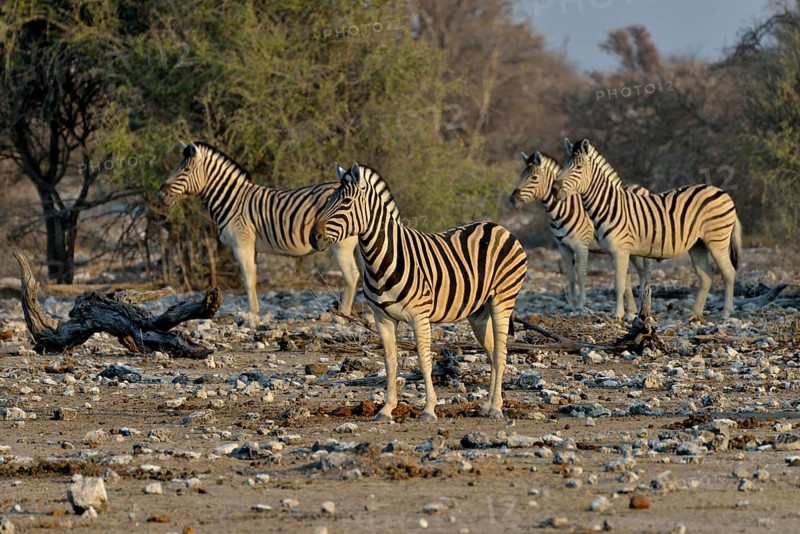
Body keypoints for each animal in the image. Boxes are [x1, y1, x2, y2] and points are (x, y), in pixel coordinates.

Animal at [158, 141, 361, 315]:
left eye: (185, 170)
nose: (160, 194)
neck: (232, 200)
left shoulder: (242, 244)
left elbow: (248, 280)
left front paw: (252, 318)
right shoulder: (252, 247)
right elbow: (252, 278)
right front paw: (254, 315)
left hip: (341, 245)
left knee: (352, 276)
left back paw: (341, 317)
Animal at [311, 163, 528, 422]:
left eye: (346, 202)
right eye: (329, 200)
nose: (314, 237)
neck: (382, 258)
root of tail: (497, 226)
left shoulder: (419, 316)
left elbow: (424, 361)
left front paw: (429, 409)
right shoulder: (382, 318)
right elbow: (390, 363)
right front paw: (386, 409)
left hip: (502, 300)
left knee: (501, 353)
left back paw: (496, 407)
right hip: (478, 312)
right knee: (493, 354)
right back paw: (487, 405)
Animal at [510, 150, 653, 314]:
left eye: (534, 177)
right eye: (521, 175)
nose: (513, 199)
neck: (563, 209)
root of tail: (642, 188)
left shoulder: (581, 246)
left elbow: (581, 274)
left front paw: (580, 304)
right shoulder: (563, 247)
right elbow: (571, 276)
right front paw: (571, 304)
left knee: (647, 270)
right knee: (641, 271)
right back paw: (639, 305)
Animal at [553, 138, 742, 319]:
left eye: (578, 167)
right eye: (564, 165)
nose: (554, 188)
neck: (609, 206)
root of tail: (722, 191)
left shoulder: (620, 251)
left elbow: (619, 284)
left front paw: (617, 314)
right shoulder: (616, 252)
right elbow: (626, 284)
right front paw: (628, 313)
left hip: (717, 241)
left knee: (729, 272)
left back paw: (726, 312)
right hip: (698, 245)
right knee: (707, 277)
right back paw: (694, 313)